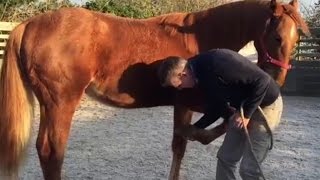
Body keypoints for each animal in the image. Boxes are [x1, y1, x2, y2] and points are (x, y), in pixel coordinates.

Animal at [0, 0, 310, 179]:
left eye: (298, 36)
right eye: (277, 36)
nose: (277, 79)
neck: (200, 37)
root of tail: (29, 24)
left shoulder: (188, 105)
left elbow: (183, 142)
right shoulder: (188, 102)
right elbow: (190, 139)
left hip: (49, 104)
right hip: (61, 103)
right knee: (52, 152)